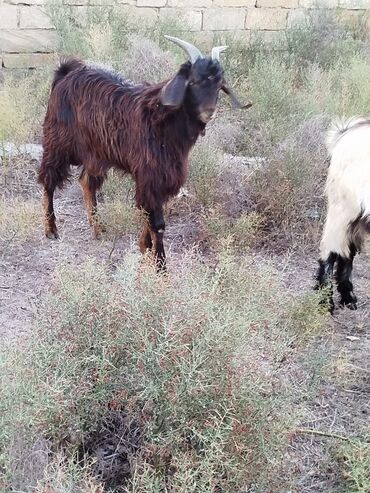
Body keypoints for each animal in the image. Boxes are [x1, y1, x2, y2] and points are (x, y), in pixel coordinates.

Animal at [37, 37, 247, 270]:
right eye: (192, 82)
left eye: (219, 85)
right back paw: (51, 229)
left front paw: (144, 246)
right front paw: (161, 267)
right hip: (58, 142)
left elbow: (150, 212)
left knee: (86, 182)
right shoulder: (150, 174)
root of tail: (65, 74)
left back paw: (98, 228)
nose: (208, 112)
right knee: (48, 179)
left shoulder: (164, 177)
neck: (163, 120)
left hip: (97, 152)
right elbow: (157, 221)